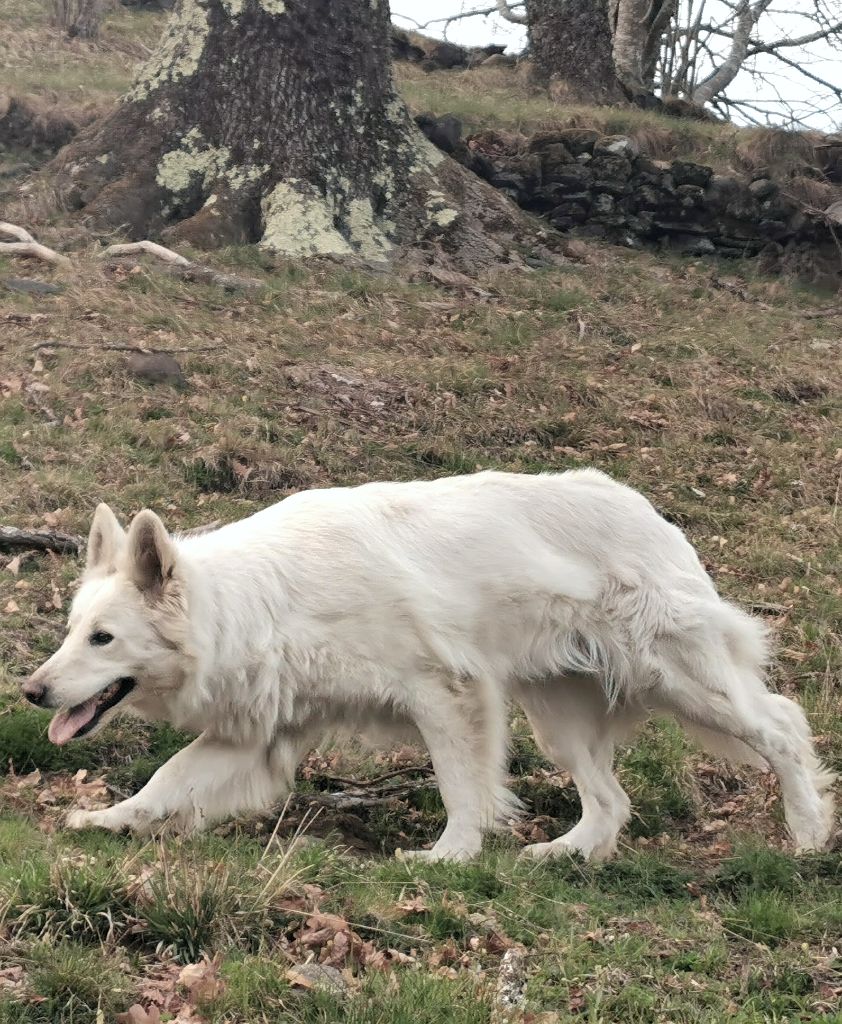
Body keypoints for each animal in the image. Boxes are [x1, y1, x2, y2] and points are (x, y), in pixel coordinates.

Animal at [23, 468, 835, 860]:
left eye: (103, 639)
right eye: (72, 632)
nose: (31, 691)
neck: (262, 603)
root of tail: (650, 511)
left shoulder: (447, 696)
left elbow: (461, 788)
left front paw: (451, 856)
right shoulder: (255, 738)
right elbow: (165, 782)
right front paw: (107, 820)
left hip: (678, 679)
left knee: (783, 726)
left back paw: (807, 835)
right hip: (560, 720)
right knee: (610, 801)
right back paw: (566, 855)